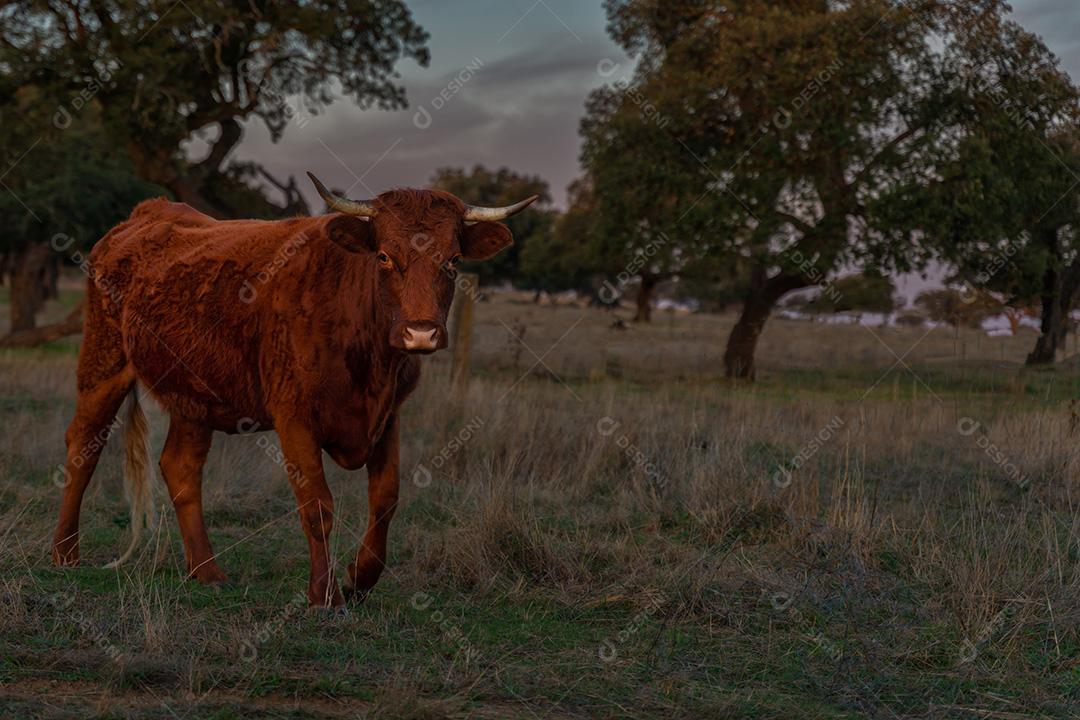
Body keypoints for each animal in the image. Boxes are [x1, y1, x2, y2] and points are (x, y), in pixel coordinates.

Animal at [51, 174, 537, 607]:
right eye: (383, 256)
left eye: (453, 260)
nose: (421, 333)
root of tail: (146, 213)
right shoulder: (294, 417)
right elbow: (317, 506)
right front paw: (324, 595)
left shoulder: (388, 416)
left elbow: (385, 499)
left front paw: (359, 579)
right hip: (103, 363)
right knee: (83, 448)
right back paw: (65, 554)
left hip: (194, 397)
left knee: (181, 468)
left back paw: (206, 571)